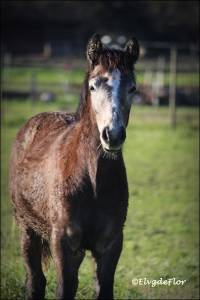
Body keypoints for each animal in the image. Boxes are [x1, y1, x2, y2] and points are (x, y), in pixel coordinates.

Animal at [9, 34, 140, 298]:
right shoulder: (63, 243)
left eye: (132, 88)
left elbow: (104, 289)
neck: (92, 182)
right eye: (93, 86)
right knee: (35, 281)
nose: (113, 135)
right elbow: (64, 289)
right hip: (27, 230)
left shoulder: (111, 244)